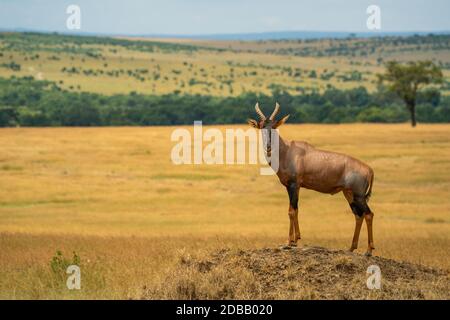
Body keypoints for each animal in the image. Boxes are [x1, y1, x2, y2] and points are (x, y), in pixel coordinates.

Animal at [248, 104, 374, 256]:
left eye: (274, 126)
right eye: (261, 126)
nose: (268, 147)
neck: (288, 151)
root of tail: (369, 169)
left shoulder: (293, 185)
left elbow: (291, 211)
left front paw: (289, 242)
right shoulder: (292, 187)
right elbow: (295, 209)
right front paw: (296, 239)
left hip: (359, 195)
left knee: (369, 214)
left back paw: (369, 250)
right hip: (349, 194)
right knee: (358, 215)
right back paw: (351, 248)